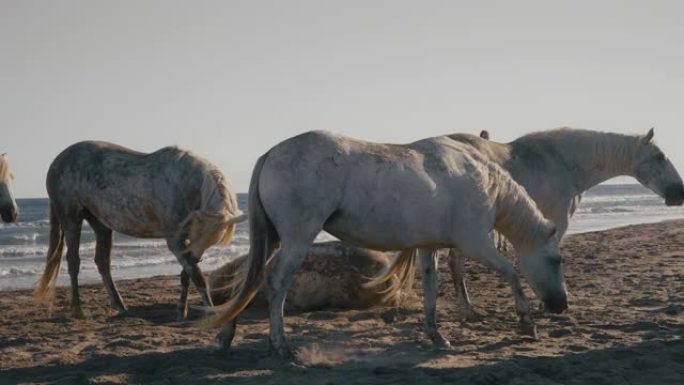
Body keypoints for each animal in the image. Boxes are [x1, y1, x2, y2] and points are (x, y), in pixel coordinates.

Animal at [34, 142, 247, 318]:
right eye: (200, 233)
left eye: (211, 241)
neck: (183, 182)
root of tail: (58, 161)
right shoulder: (177, 241)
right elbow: (198, 277)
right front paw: (210, 312)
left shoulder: (185, 243)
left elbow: (187, 274)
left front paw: (182, 309)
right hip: (71, 217)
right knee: (73, 261)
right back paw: (78, 310)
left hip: (100, 223)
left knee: (102, 262)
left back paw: (120, 306)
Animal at [374, 127, 684, 320]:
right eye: (659, 157)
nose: (678, 193)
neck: (562, 162)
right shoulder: (554, 222)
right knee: (455, 264)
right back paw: (469, 310)